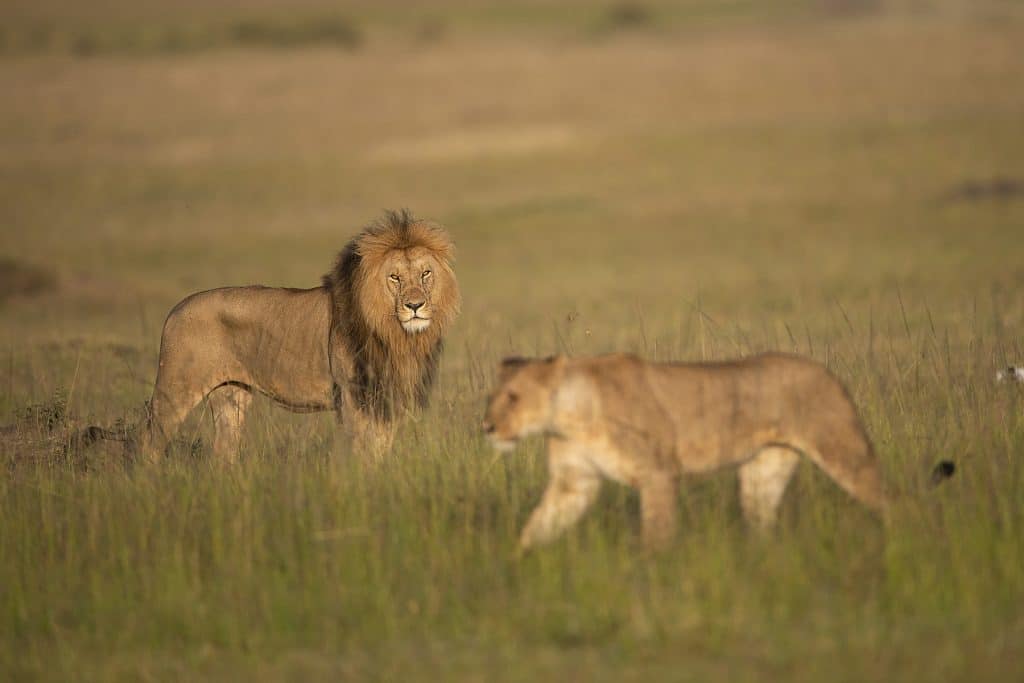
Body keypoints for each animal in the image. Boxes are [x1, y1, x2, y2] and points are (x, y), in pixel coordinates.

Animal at [129, 210, 460, 462]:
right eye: (394, 277)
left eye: (426, 274)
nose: (415, 305)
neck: (396, 335)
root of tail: (176, 309)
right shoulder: (352, 395)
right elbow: (362, 449)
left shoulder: (387, 396)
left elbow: (380, 448)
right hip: (175, 390)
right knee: (148, 442)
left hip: (231, 396)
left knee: (223, 452)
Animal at [483, 352, 954, 548]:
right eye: (492, 397)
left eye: (514, 398)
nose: (486, 427)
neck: (569, 414)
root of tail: (827, 372)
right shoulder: (573, 483)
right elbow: (537, 527)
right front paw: (515, 565)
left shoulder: (658, 474)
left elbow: (657, 537)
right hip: (763, 474)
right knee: (763, 525)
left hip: (843, 452)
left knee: (899, 502)